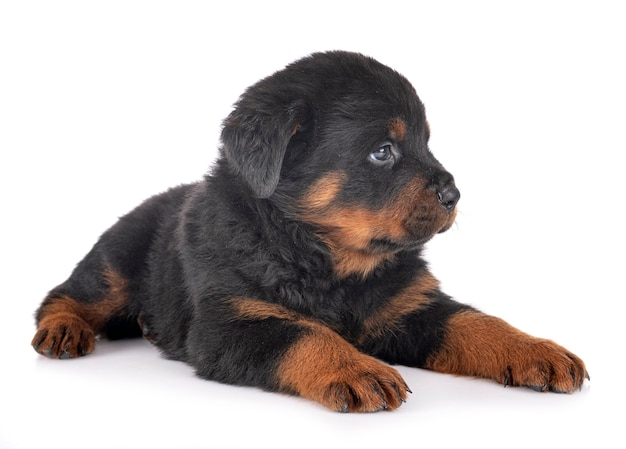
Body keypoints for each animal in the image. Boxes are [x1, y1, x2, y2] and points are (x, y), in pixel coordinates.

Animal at [30, 50, 584, 412]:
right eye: (383, 151)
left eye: (427, 142)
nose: (453, 194)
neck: (326, 259)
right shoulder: (232, 322)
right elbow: (303, 333)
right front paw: (355, 368)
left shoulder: (411, 306)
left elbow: (475, 322)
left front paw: (537, 350)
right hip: (118, 256)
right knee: (67, 293)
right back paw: (62, 329)